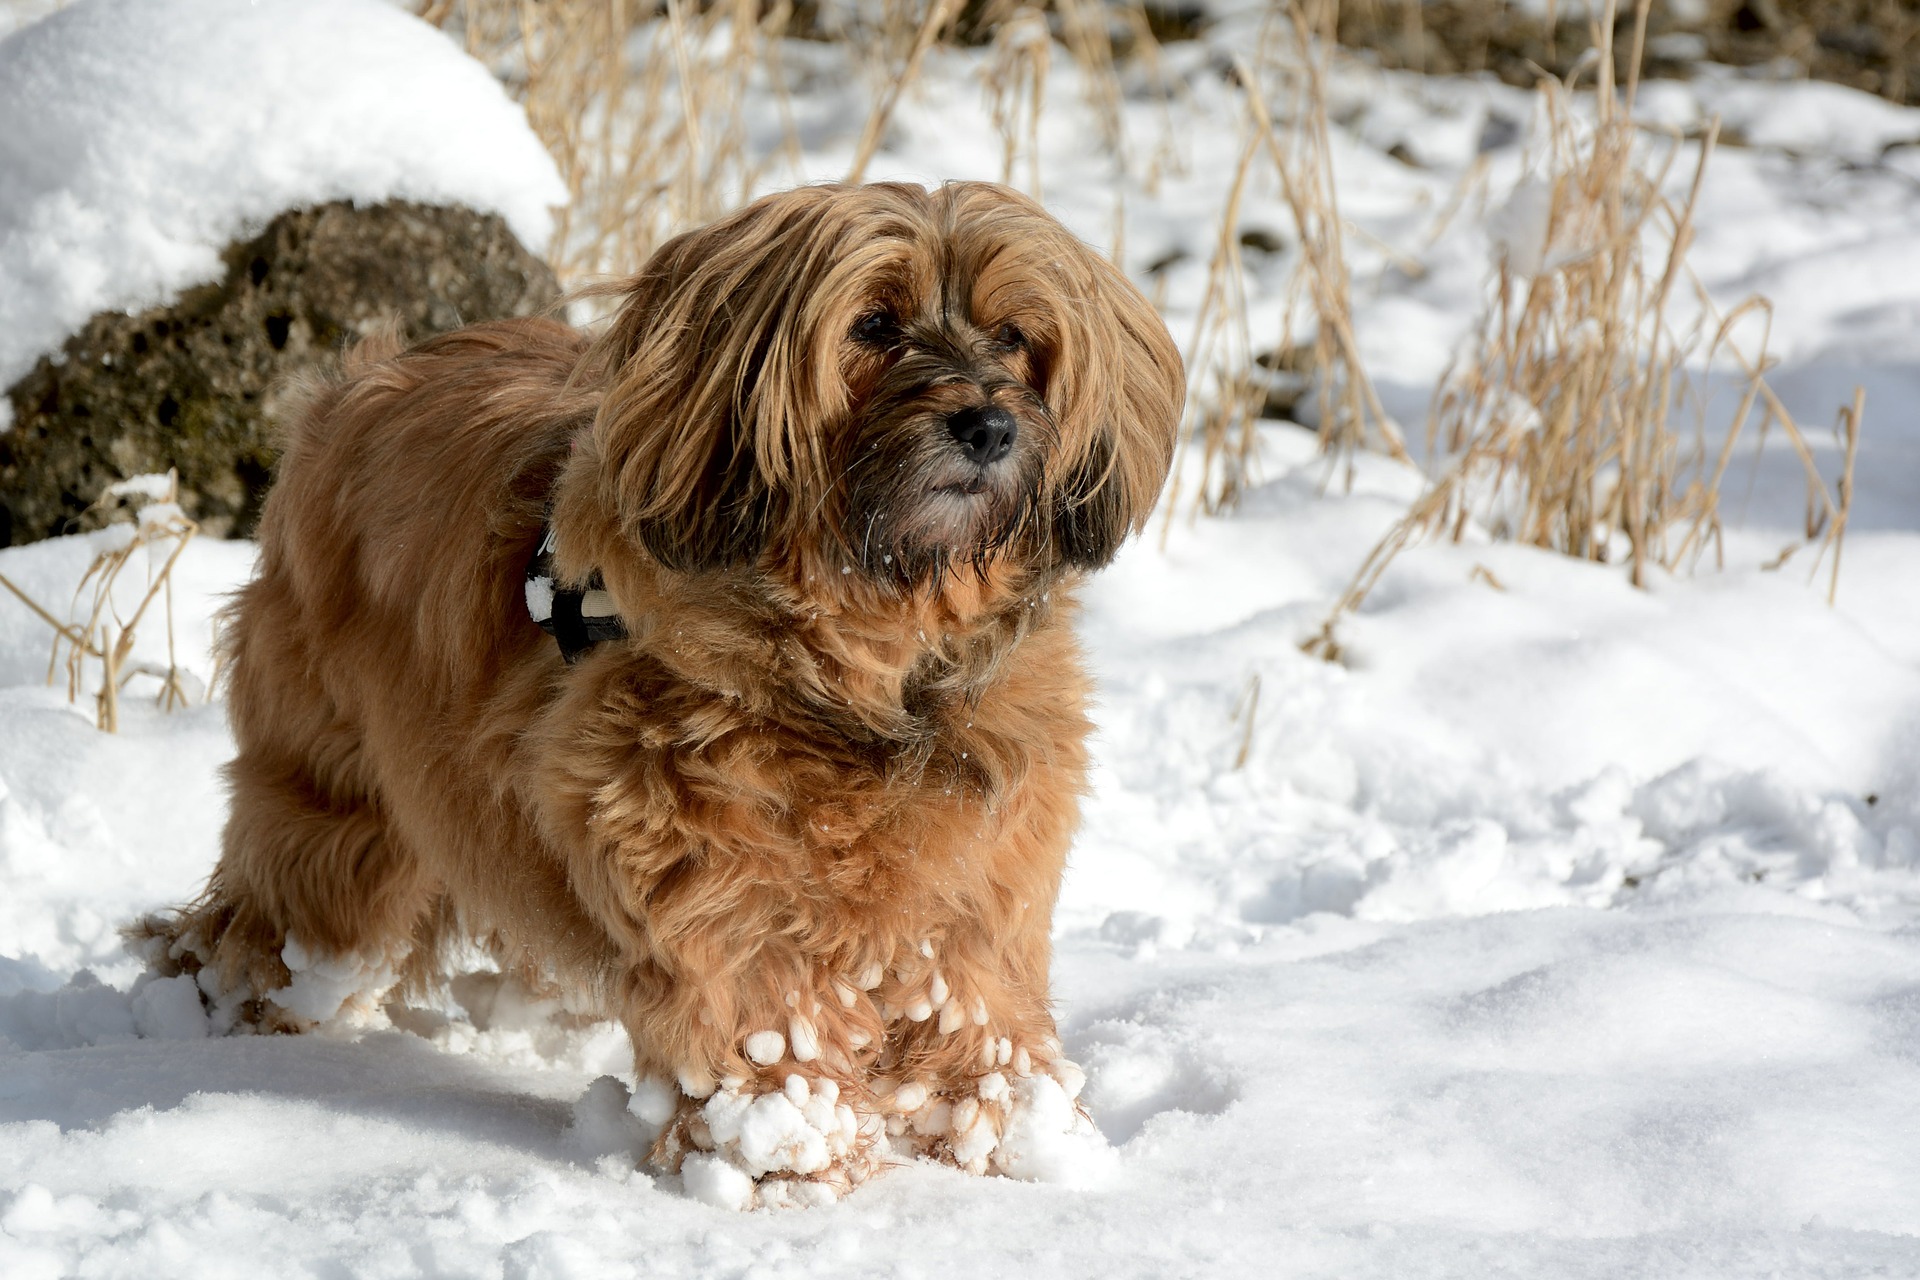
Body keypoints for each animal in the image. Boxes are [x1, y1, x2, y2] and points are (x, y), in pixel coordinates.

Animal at [139, 182, 1182, 1212]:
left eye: (1014, 336)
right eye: (875, 324)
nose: (989, 427)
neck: (866, 669)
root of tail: (358, 381)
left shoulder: (979, 866)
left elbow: (974, 993)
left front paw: (1019, 1143)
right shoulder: (703, 847)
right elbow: (763, 1004)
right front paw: (787, 1159)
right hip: (336, 785)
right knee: (291, 896)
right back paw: (234, 1010)